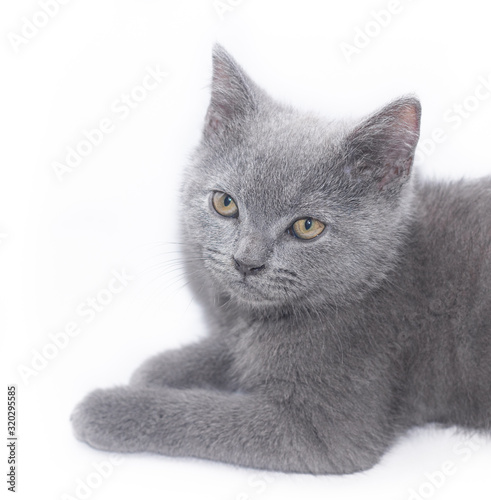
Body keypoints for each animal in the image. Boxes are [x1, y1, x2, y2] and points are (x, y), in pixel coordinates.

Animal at [70, 45, 491, 474]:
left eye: (307, 226)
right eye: (225, 203)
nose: (246, 261)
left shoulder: (320, 432)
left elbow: (205, 416)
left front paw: (109, 407)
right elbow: (232, 348)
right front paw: (162, 368)